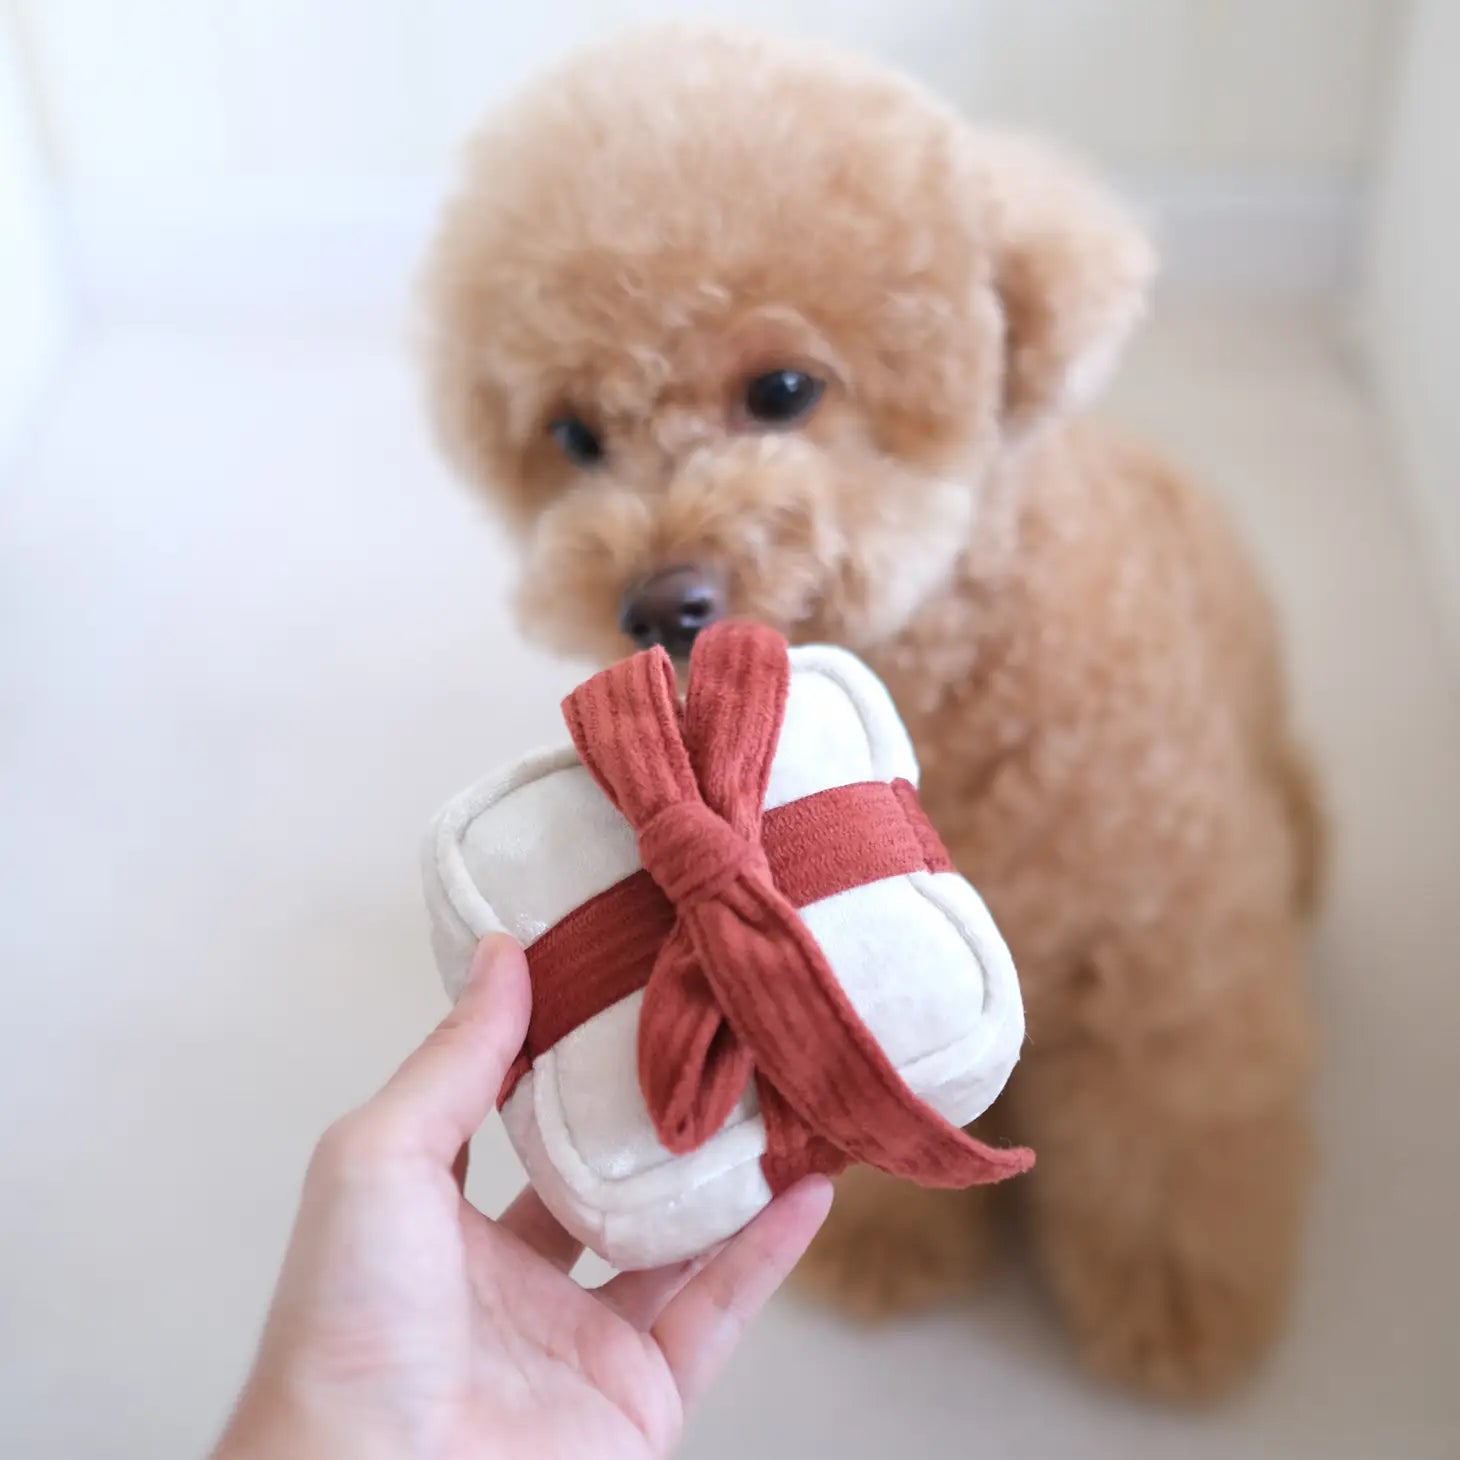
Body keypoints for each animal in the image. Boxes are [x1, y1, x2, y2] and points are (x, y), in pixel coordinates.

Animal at [423, 22, 1325, 1389]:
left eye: (785, 390)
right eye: (574, 435)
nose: (657, 601)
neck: (952, 669)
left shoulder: (1168, 962)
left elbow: (1173, 1131)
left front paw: (1171, 1306)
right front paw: (890, 1242)